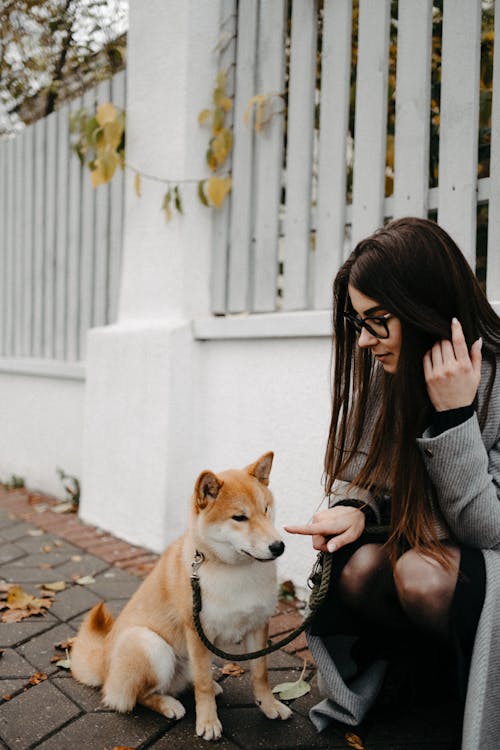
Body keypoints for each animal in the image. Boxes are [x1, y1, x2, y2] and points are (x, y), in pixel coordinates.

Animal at [68, 456, 292, 744]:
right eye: (239, 517)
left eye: (266, 510)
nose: (278, 547)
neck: (236, 571)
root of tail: (104, 659)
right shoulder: (196, 631)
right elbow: (203, 685)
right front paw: (208, 722)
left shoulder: (258, 625)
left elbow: (260, 674)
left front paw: (270, 706)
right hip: (150, 645)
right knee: (137, 697)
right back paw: (168, 705)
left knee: (188, 679)